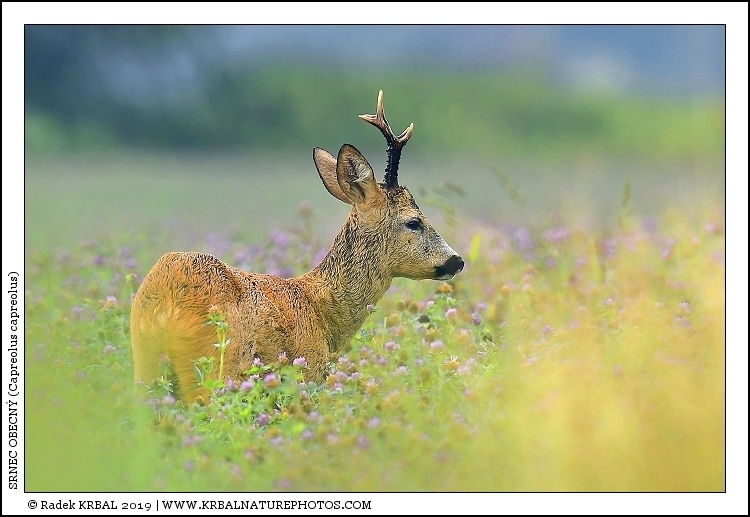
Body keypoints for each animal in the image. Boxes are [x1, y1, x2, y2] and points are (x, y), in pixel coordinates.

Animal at [130, 90, 464, 402]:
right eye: (414, 222)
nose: (457, 261)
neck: (322, 311)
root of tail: (165, 300)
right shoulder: (307, 370)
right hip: (216, 366)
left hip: (146, 365)